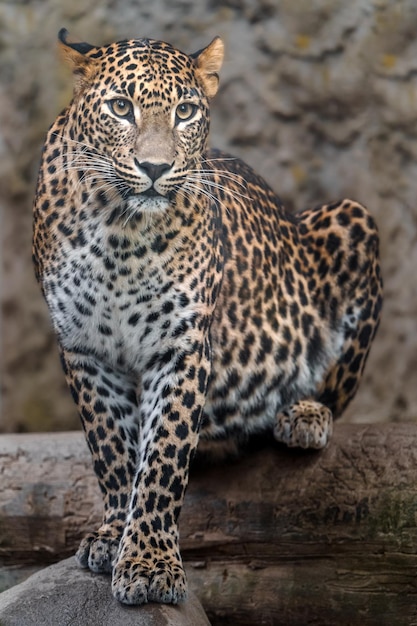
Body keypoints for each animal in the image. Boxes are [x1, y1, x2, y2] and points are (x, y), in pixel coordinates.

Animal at [32, 29, 382, 604]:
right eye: (121, 107)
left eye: (186, 111)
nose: (155, 169)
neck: (121, 233)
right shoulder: (84, 350)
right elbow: (112, 453)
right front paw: (113, 535)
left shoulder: (181, 345)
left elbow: (163, 457)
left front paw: (149, 562)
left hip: (353, 219)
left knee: (332, 389)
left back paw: (303, 416)